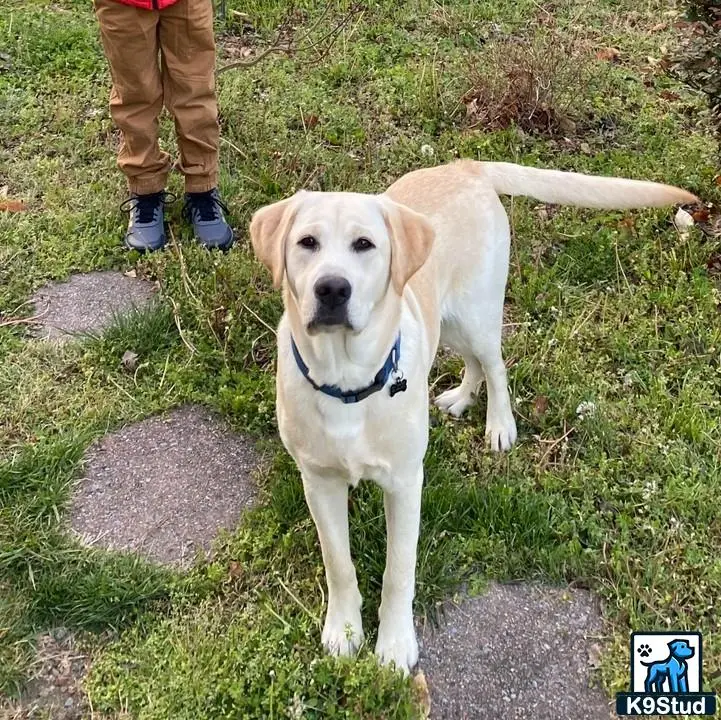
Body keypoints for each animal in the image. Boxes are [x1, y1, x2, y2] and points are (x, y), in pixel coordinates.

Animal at [250, 160, 696, 672]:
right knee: (475, 365)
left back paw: (500, 425)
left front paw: (395, 644)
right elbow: (338, 564)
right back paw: (461, 398)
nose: (332, 288)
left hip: (476, 317)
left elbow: (398, 571)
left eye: (364, 244)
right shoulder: (318, 482)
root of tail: (464, 164)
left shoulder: (405, 484)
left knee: (496, 365)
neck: (347, 383)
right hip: (447, 325)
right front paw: (344, 631)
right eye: (307, 242)